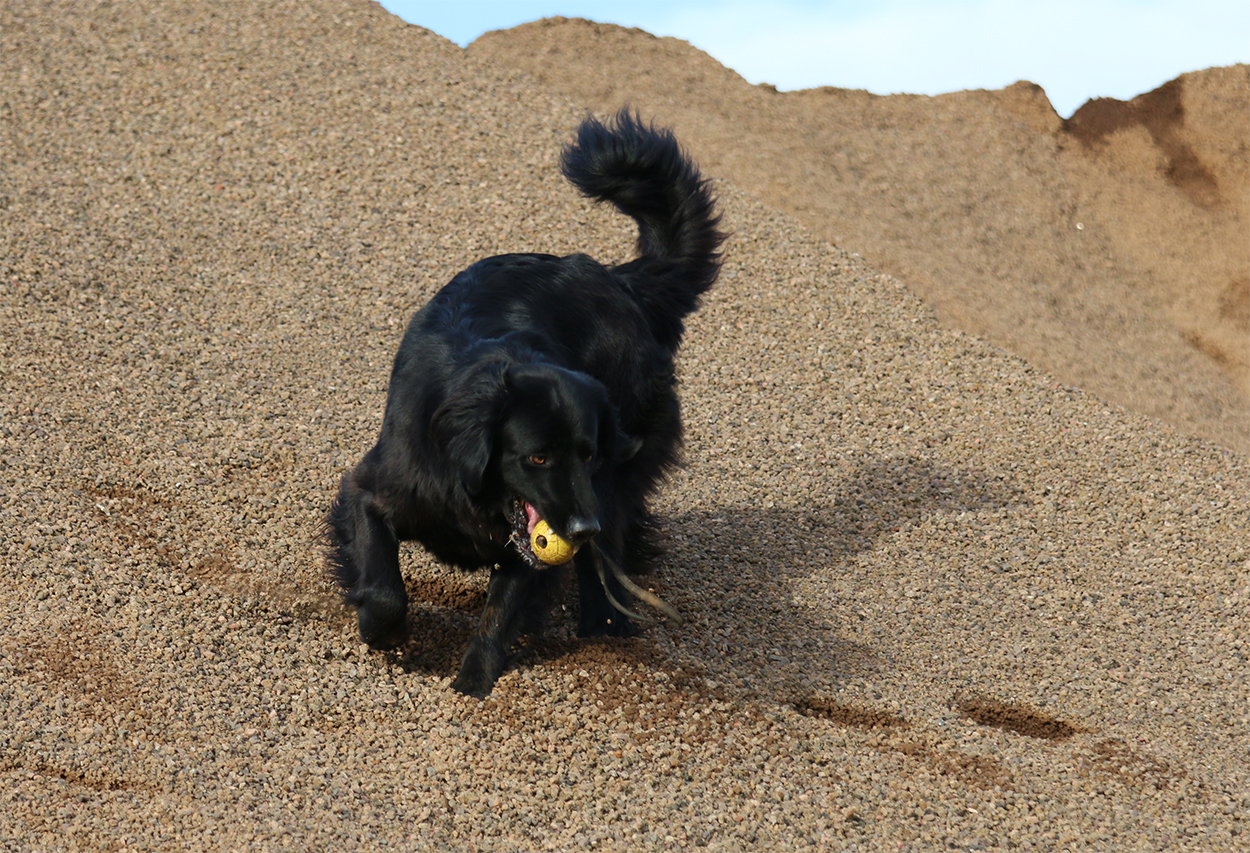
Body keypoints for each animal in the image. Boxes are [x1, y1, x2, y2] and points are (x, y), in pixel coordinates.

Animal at [324, 110, 724, 698]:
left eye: (586, 454)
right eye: (536, 457)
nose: (580, 530)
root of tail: (619, 280)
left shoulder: (533, 544)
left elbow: (500, 614)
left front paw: (471, 688)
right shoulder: (374, 490)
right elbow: (384, 587)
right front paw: (384, 633)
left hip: (619, 473)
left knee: (610, 548)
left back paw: (606, 626)